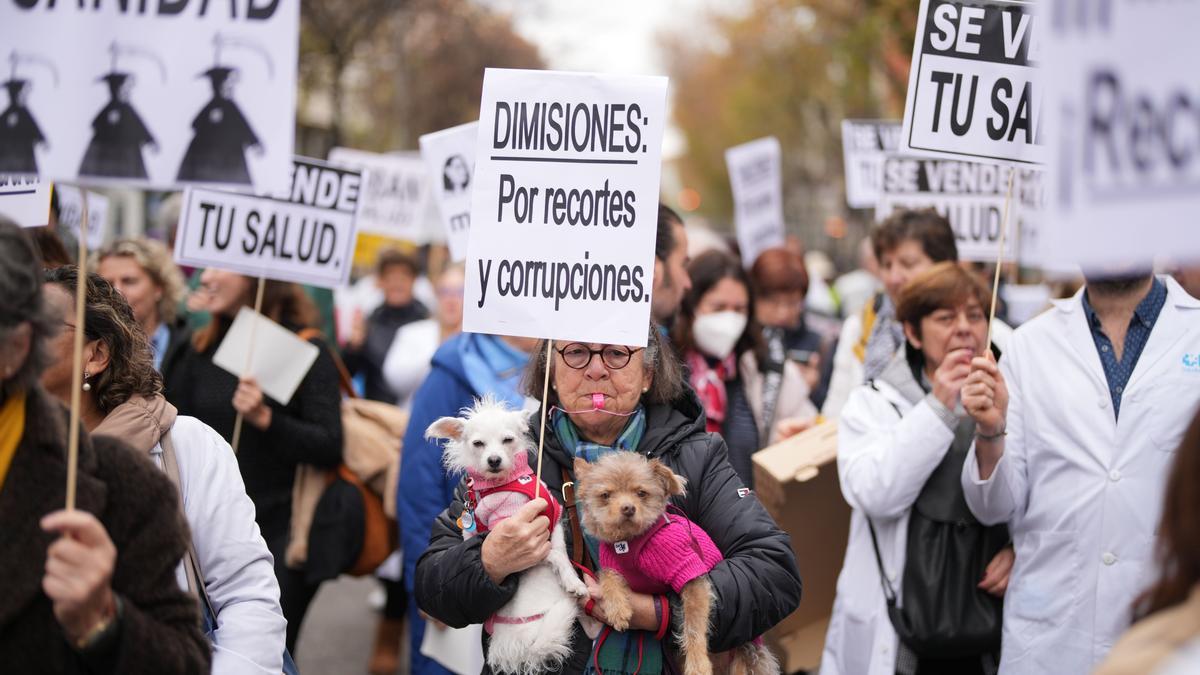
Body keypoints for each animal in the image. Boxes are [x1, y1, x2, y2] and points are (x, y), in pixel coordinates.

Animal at [427, 393, 590, 672]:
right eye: (478, 443)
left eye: (508, 439)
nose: (494, 460)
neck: (506, 484)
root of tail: (523, 644)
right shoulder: (522, 538)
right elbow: (554, 553)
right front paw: (573, 582)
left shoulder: (553, 516)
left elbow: (560, 551)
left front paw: (572, 580)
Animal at [576, 449, 782, 675]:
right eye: (605, 495)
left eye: (641, 493)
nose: (628, 508)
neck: (629, 543)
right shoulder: (612, 565)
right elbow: (608, 578)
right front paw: (617, 610)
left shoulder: (690, 574)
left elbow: (693, 626)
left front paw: (698, 665)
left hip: (745, 660)